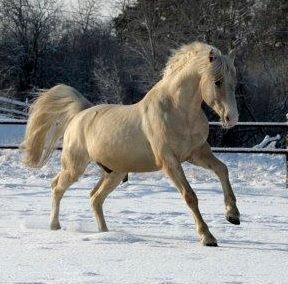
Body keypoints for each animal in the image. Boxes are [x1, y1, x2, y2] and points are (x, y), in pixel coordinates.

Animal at [22, 41, 240, 245]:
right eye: (217, 82)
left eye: (233, 81)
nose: (232, 119)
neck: (179, 112)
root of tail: (80, 114)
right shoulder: (169, 161)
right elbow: (189, 195)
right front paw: (207, 237)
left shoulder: (197, 153)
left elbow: (222, 169)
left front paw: (233, 215)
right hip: (74, 167)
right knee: (57, 187)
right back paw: (55, 226)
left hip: (114, 173)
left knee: (95, 197)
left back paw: (105, 233)